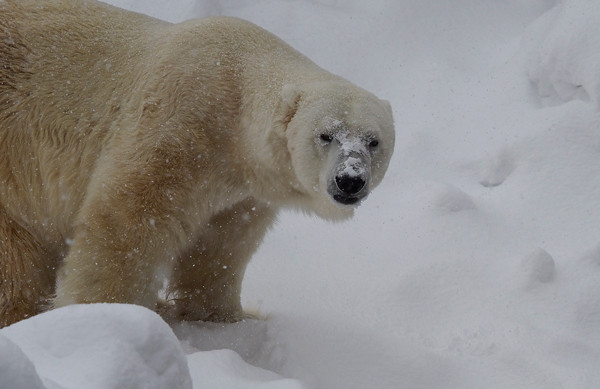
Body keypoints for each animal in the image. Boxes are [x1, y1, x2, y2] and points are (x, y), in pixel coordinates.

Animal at [0, 0, 394, 328]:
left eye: (373, 141)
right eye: (326, 135)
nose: (350, 180)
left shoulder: (244, 189)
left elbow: (221, 246)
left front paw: (225, 317)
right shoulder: (179, 119)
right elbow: (126, 222)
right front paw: (108, 312)